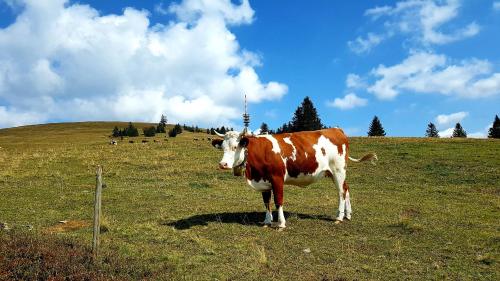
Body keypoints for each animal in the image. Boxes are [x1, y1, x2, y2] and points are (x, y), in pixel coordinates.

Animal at [214, 127, 376, 228]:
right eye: (222, 147)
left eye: (235, 147)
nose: (223, 164)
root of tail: (336, 129)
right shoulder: (263, 181)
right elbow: (266, 202)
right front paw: (267, 221)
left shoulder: (277, 178)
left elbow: (278, 201)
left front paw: (281, 223)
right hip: (334, 172)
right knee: (346, 188)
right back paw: (348, 215)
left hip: (338, 170)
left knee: (341, 192)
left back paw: (339, 217)